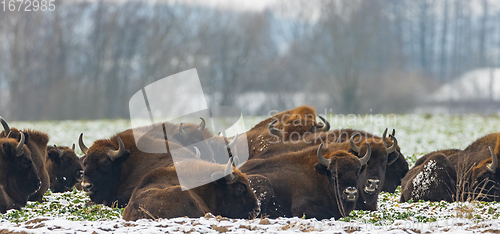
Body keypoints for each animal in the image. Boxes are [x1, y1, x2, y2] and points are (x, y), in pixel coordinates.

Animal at [239, 142, 372, 220]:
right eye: (335, 174)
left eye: (358, 172)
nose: (351, 193)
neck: (322, 176)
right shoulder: (301, 208)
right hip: (263, 182)